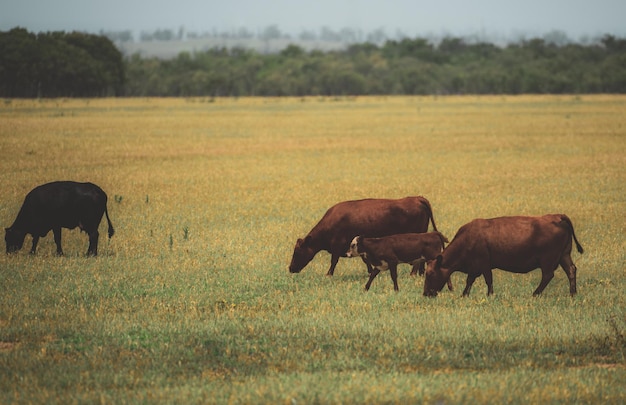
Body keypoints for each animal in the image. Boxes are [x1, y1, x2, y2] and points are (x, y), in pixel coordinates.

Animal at [290, 196, 442, 274]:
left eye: (297, 252)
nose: (291, 269)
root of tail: (417, 198)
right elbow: (365, 259)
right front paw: (370, 271)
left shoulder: (337, 245)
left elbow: (334, 261)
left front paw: (329, 274)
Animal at [422, 213, 584, 296]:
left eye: (430, 274)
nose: (426, 294)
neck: (468, 238)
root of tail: (557, 216)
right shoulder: (474, 267)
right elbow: (470, 281)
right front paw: (464, 295)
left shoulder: (484, 264)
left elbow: (488, 280)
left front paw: (490, 295)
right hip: (564, 255)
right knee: (571, 270)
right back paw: (573, 293)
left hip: (548, 260)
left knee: (548, 275)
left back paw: (535, 294)